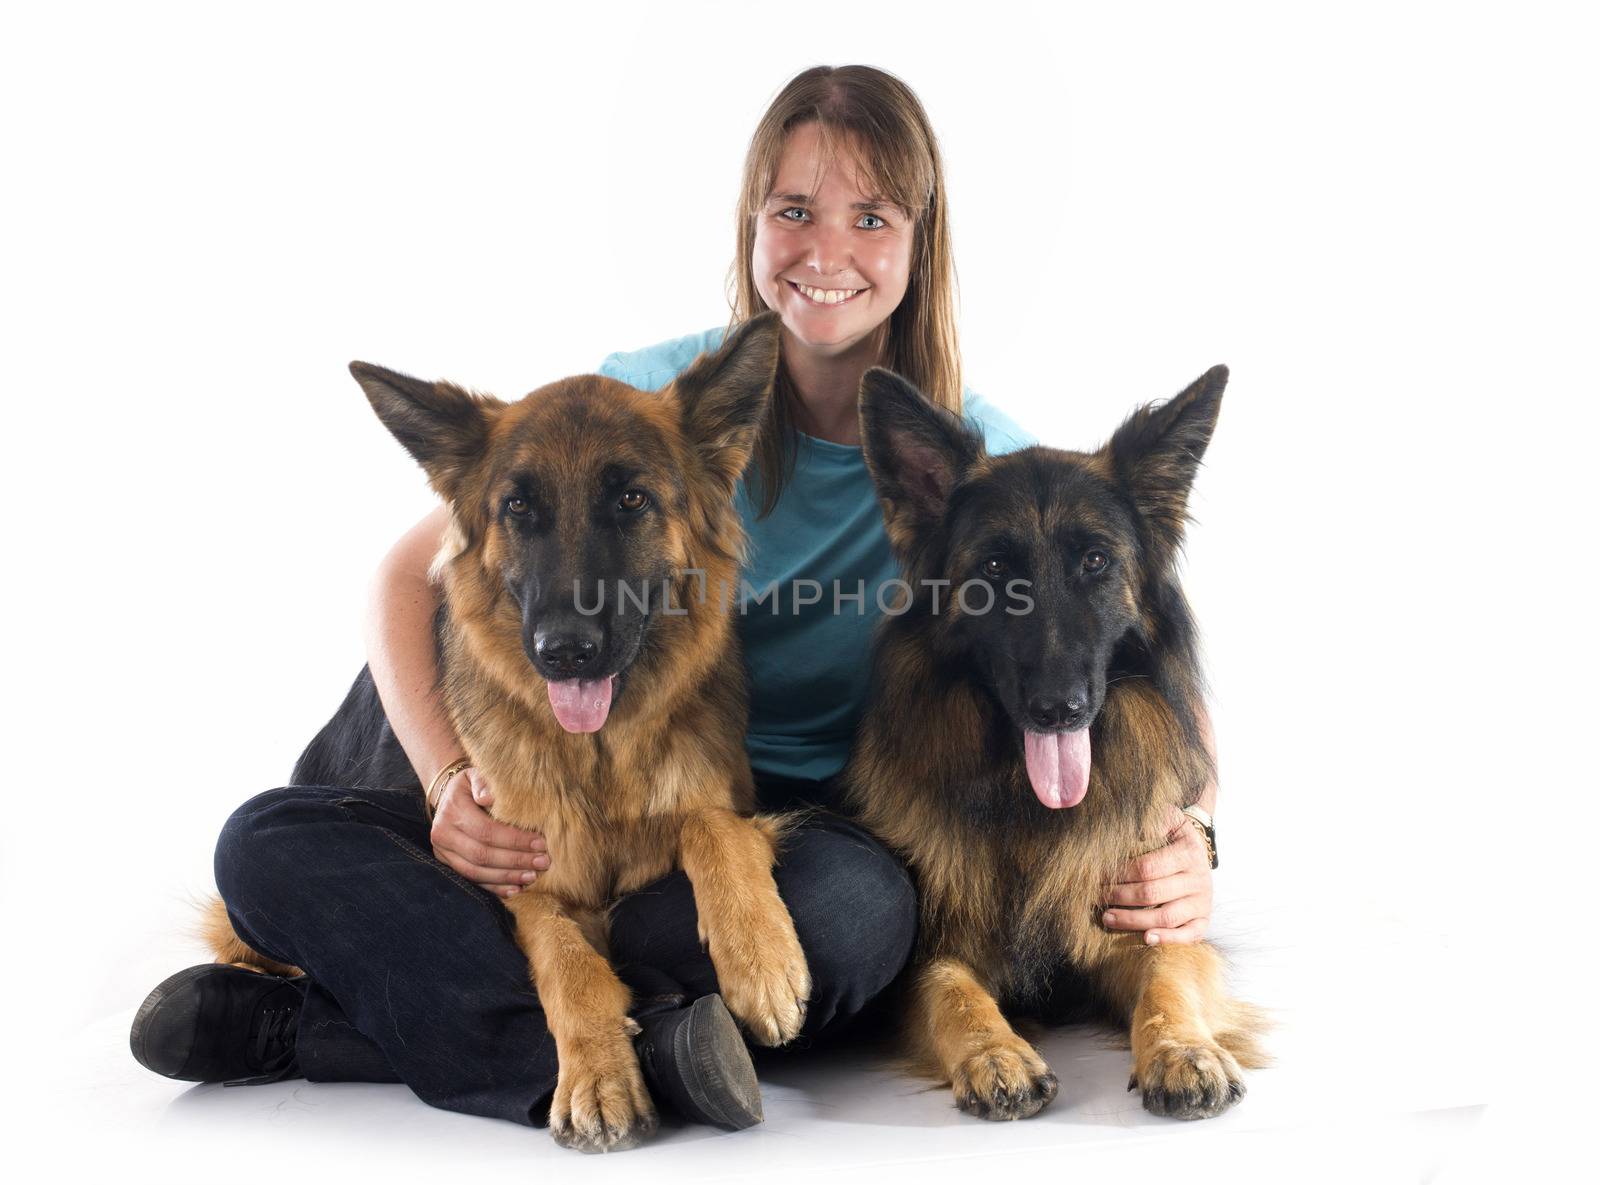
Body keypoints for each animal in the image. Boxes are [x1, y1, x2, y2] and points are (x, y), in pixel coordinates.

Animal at [204, 315, 812, 1145]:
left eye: (631, 497)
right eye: (518, 507)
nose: (565, 651)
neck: (597, 760)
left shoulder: (719, 809)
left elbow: (712, 827)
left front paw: (761, 958)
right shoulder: (526, 884)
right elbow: (565, 961)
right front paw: (596, 1072)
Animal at [844, 364, 1267, 1125]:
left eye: (1096, 561)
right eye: (992, 569)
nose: (1058, 708)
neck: (1030, 808)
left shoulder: (1151, 921)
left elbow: (1169, 978)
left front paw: (1182, 1051)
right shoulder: (932, 957)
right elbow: (953, 993)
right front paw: (996, 1054)